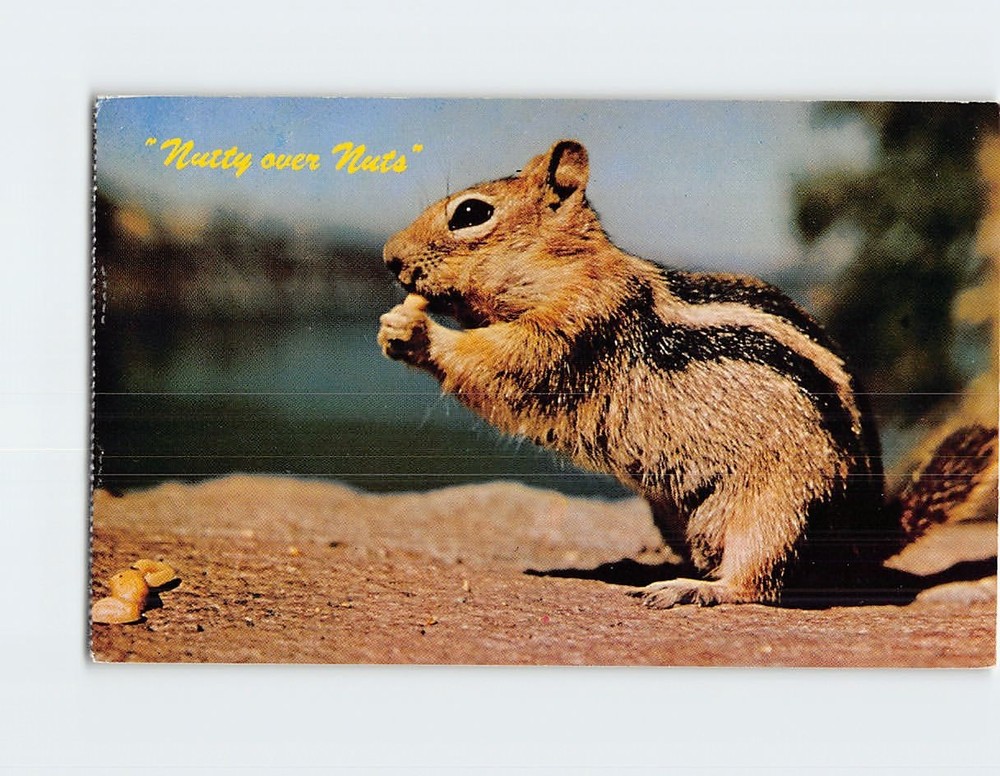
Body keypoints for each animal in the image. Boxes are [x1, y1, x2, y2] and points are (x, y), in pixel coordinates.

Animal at [377, 139, 998, 608]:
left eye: (471, 213)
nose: (388, 258)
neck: (571, 269)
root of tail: (863, 538)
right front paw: (394, 325)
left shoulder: (573, 330)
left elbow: (501, 364)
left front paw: (417, 331)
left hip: (775, 506)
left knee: (757, 582)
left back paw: (690, 589)